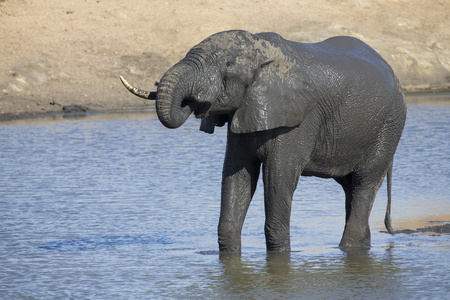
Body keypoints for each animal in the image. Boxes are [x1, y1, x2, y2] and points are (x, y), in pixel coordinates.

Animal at [120, 29, 408, 252]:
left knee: (364, 185)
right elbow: (237, 177)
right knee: (351, 189)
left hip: (389, 125)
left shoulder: (299, 118)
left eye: (227, 66)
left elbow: (277, 177)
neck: (261, 50)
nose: (193, 102)